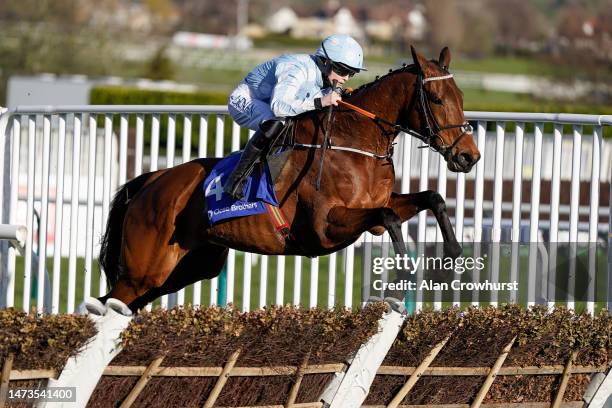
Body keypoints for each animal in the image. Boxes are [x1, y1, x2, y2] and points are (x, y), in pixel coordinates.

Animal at [93, 45, 480, 312]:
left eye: (461, 96)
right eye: (436, 98)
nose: (469, 156)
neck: (355, 142)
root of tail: (151, 181)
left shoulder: (375, 210)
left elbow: (431, 197)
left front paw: (451, 258)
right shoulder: (325, 228)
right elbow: (389, 217)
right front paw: (404, 270)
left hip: (188, 267)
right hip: (145, 270)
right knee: (112, 301)